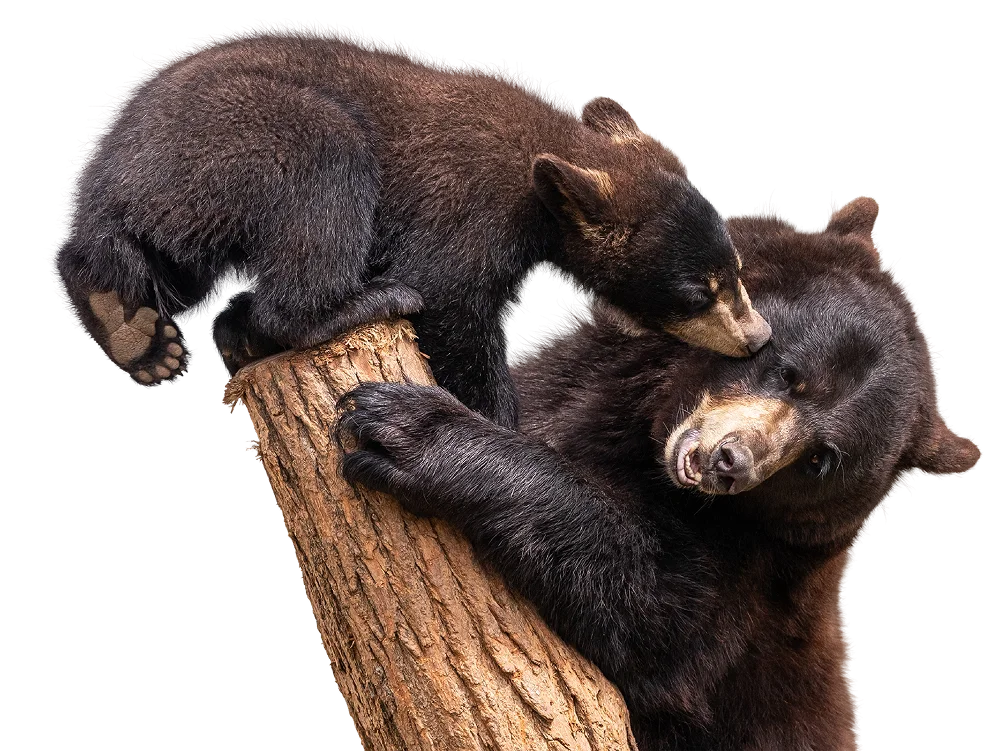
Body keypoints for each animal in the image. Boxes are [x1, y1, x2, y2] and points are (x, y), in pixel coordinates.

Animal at [48, 23, 770, 429]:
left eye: (734, 270)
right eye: (698, 291)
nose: (756, 336)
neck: (545, 156)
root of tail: (95, 179)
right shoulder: (470, 204)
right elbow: (450, 300)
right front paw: (498, 419)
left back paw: (136, 328)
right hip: (242, 135)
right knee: (322, 175)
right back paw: (346, 306)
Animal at [335, 195, 983, 750]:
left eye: (822, 459)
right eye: (788, 373)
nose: (730, 462)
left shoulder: (755, 581)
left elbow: (657, 615)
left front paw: (408, 430)